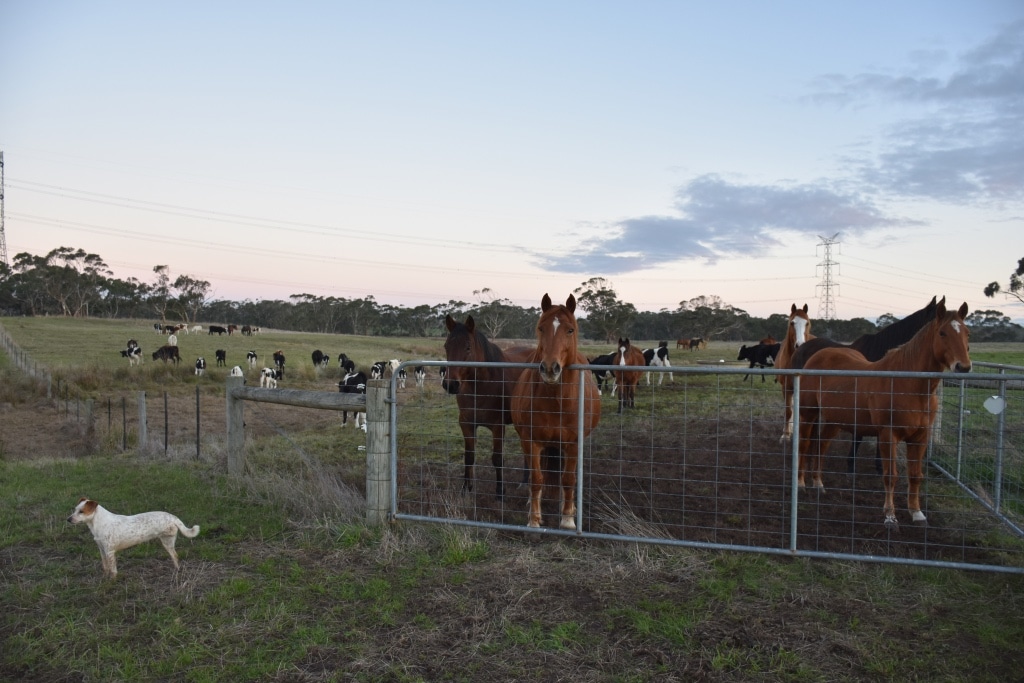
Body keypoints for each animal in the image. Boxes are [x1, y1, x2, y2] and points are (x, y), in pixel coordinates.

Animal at [67, 497, 199, 577]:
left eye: (81, 511)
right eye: (74, 510)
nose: (68, 519)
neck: (98, 524)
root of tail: (174, 517)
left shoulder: (110, 551)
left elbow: (113, 570)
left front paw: (112, 582)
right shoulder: (102, 550)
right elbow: (105, 567)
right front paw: (105, 577)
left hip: (167, 542)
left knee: (175, 556)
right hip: (167, 542)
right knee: (175, 556)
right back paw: (176, 571)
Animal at [442, 313, 532, 497]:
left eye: (468, 347)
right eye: (446, 346)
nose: (450, 384)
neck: (480, 386)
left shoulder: (498, 426)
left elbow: (497, 458)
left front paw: (500, 491)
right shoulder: (467, 424)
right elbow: (469, 456)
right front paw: (466, 489)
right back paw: (524, 482)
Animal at [509, 292, 598, 528]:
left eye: (570, 330)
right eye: (541, 328)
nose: (550, 369)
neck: (556, 402)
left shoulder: (573, 443)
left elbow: (568, 479)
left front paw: (567, 519)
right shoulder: (531, 441)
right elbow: (536, 479)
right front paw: (534, 519)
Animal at [774, 301, 815, 440]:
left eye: (807, 323)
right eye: (792, 323)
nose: (799, 344)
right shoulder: (786, 387)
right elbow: (788, 410)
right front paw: (786, 435)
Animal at [794, 299, 970, 528]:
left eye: (967, 332)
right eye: (942, 333)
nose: (963, 367)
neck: (908, 385)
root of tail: (817, 355)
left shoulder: (920, 436)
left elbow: (915, 475)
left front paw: (917, 513)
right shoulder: (888, 435)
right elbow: (890, 475)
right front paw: (890, 517)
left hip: (835, 420)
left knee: (822, 445)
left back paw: (818, 484)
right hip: (808, 414)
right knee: (805, 444)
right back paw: (801, 483)